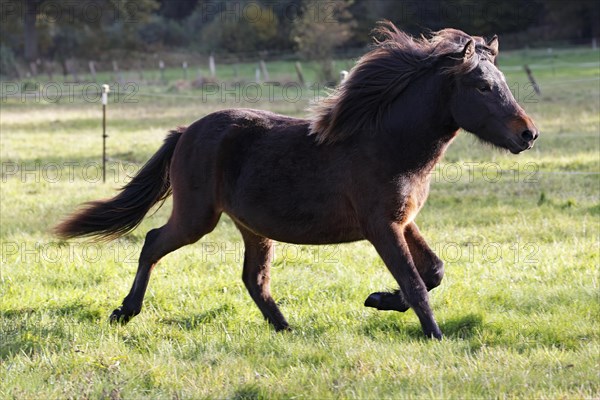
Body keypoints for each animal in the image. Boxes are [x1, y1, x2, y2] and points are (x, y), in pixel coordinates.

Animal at [55, 21, 540, 340]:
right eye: (482, 86)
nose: (528, 134)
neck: (388, 144)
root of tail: (186, 132)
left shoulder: (403, 221)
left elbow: (434, 271)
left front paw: (377, 300)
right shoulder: (381, 227)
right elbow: (416, 283)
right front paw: (434, 335)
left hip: (251, 226)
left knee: (253, 278)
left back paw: (286, 329)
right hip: (197, 217)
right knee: (154, 241)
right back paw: (125, 312)